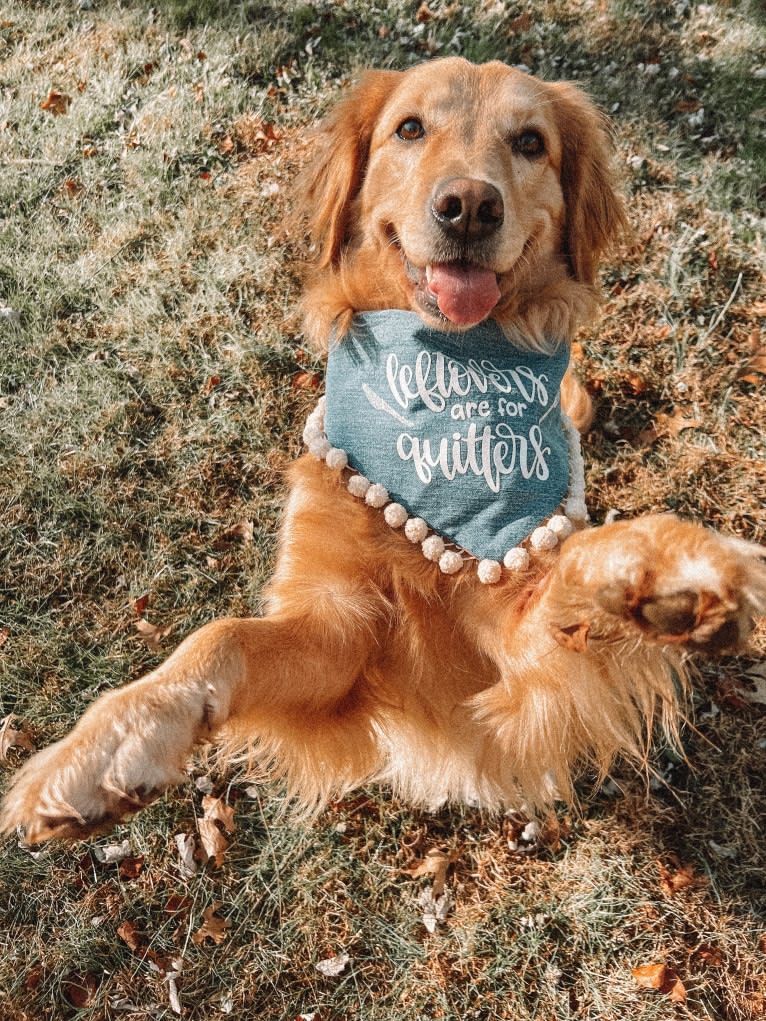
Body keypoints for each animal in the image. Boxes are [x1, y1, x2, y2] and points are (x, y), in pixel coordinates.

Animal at [1, 61, 766, 845]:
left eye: (530, 142)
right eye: (410, 128)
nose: (469, 206)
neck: (444, 377)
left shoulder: (520, 657)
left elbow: (578, 565)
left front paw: (662, 570)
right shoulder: (334, 628)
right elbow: (219, 638)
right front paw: (107, 748)